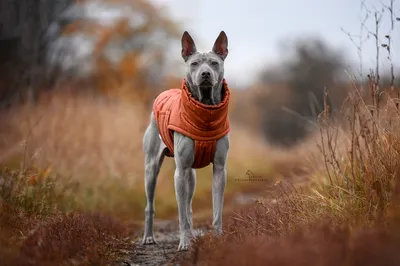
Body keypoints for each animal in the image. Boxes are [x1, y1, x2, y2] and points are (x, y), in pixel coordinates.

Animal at [141, 30, 230, 250]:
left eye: (214, 63)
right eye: (195, 63)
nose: (205, 74)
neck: (205, 110)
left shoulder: (219, 169)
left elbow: (217, 210)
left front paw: (217, 239)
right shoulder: (179, 173)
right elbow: (181, 215)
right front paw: (183, 243)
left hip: (192, 174)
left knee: (189, 206)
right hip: (151, 169)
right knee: (150, 205)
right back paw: (148, 237)